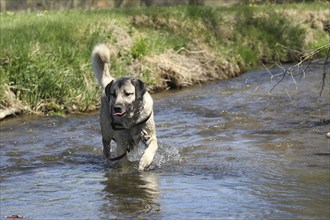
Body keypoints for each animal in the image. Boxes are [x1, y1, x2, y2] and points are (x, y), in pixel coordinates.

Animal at [91, 43, 159, 171]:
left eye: (127, 94)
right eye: (113, 94)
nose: (116, 108)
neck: (131, 120)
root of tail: (109, 80)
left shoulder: (149, 135)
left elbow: (153, 146)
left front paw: (145, 161)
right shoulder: (121, 143)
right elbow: (123, 161)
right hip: (106, 129)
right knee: (105, 143)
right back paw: (107, 155)